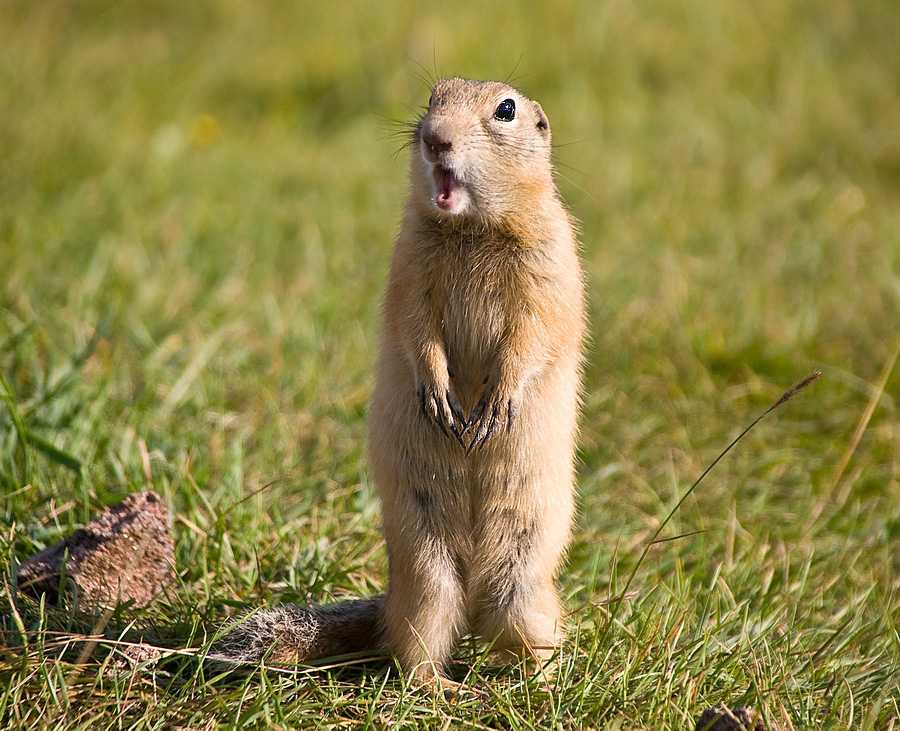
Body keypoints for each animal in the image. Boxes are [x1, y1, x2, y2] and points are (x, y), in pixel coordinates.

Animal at [214, 77, 588, 696]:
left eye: (505, 110)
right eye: (434, 96)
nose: (435, 138)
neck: (471, 228)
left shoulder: (549, 268)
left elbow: (531, 335)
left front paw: (493, 406)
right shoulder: (408, 269)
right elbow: (416, 328)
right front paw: (441, 397)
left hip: (524, 579)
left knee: (527, 637)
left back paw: (541, 683)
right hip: (425, 573)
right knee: (415, 649)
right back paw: (445, 688)